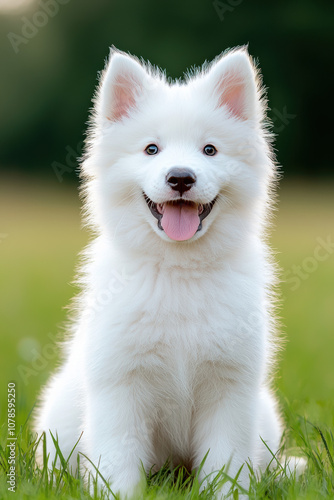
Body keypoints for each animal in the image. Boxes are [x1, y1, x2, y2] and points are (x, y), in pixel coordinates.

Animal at [35, 46, 304, 496]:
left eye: (210, 150)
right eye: (151, 149)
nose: (181, 177)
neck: (179, 272)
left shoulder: (230, 387)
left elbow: (227, 464)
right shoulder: (121, 386)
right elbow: (118, 462)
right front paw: (119, 493)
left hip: (263, 414)